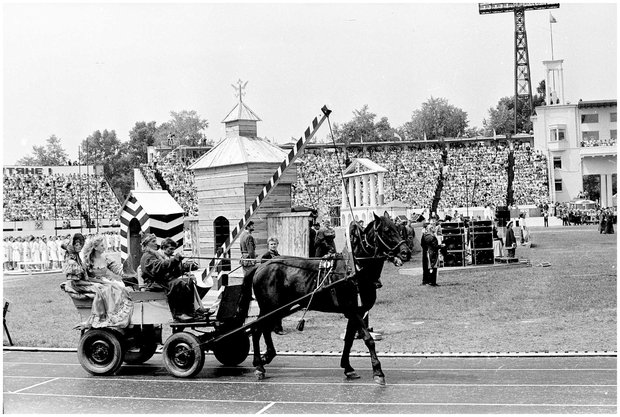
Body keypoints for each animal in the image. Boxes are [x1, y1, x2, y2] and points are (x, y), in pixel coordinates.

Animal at [243, 211, 412, 384]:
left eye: (397, 228)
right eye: (386, 231)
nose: (406, 252)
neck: (355, 269)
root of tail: (262, 265)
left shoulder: (355, 312)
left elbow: (349, 340)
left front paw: (348, 367)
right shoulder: (353, 311)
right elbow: (368, 339)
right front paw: (377, 371)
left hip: (279, 308)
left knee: (264, 329)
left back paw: (267, 356)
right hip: (269, 307)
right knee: (256, 330)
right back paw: (259, 365)